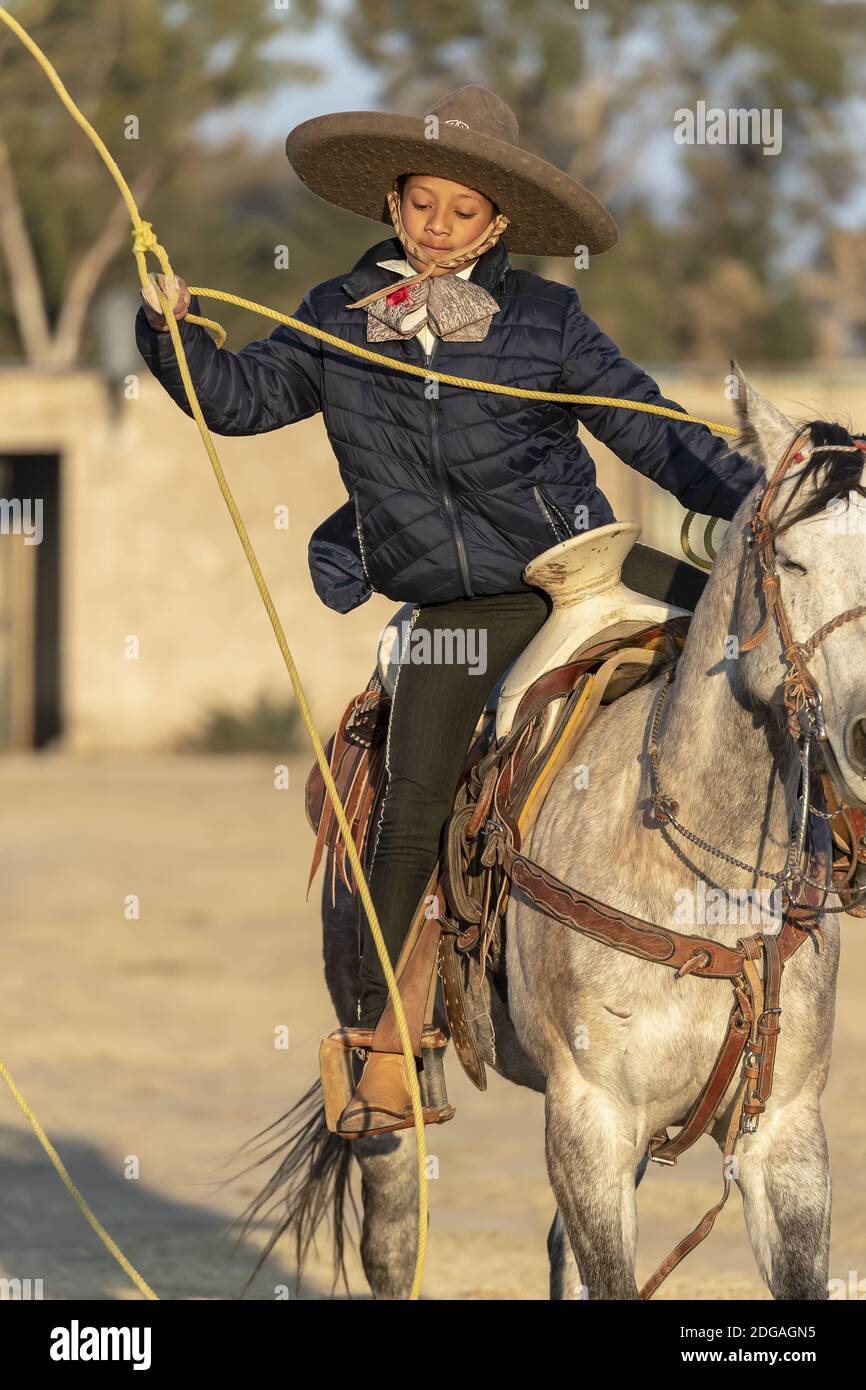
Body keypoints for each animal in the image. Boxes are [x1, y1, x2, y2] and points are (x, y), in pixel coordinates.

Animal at [234, 375, 866, 1295]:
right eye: (790, 560)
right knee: (391, 1231)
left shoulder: (782, 1132)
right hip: (386, 1083)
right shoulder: (591, 1117)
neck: (704, 872)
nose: (865, 736)